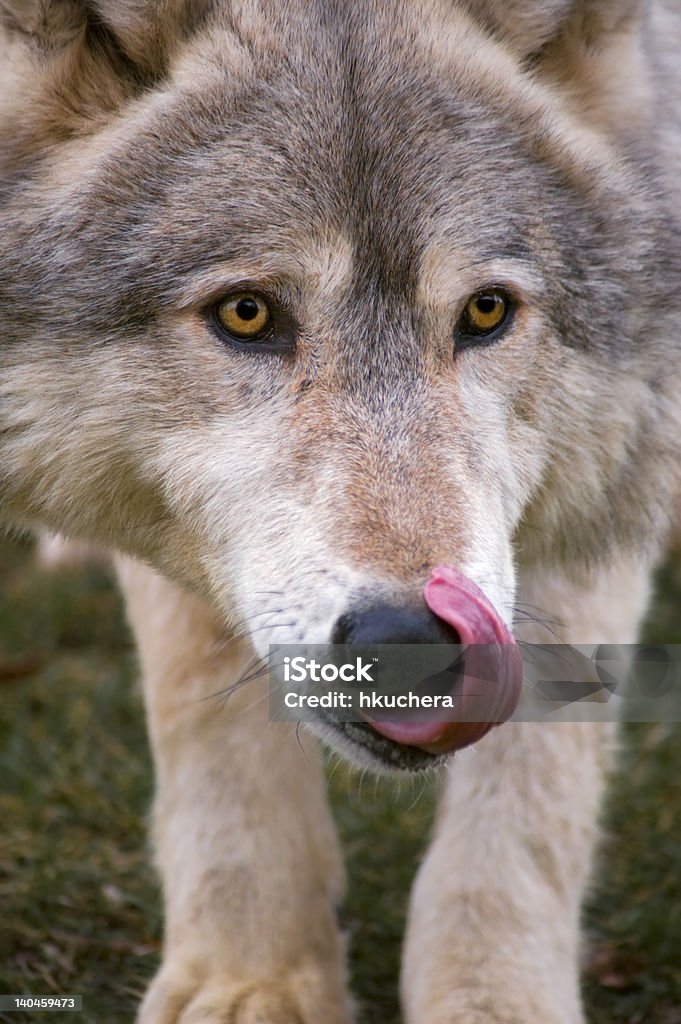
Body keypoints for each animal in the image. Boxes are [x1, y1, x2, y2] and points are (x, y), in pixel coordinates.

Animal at [1, 0, 679, 1019]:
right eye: (246, 313)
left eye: (485, 311)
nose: (411, 640)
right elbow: (207, 712)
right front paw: (252, 977)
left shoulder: (605, 479)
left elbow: (530, 800)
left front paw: (491, 998)